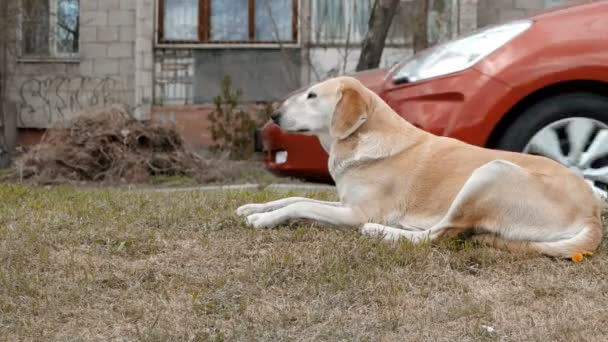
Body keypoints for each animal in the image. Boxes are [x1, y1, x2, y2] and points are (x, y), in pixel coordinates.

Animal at [238, 77, 604, 260]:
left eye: (312, 96)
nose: (273, 115)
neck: (362, 138)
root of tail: (593, 213)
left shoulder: (356, 212)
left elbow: (301, 204)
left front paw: (263, 220)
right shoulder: (343, 203)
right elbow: (293, 199)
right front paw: (252, 207)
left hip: (491, 171)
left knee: (439, 235)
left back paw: (383, 232)